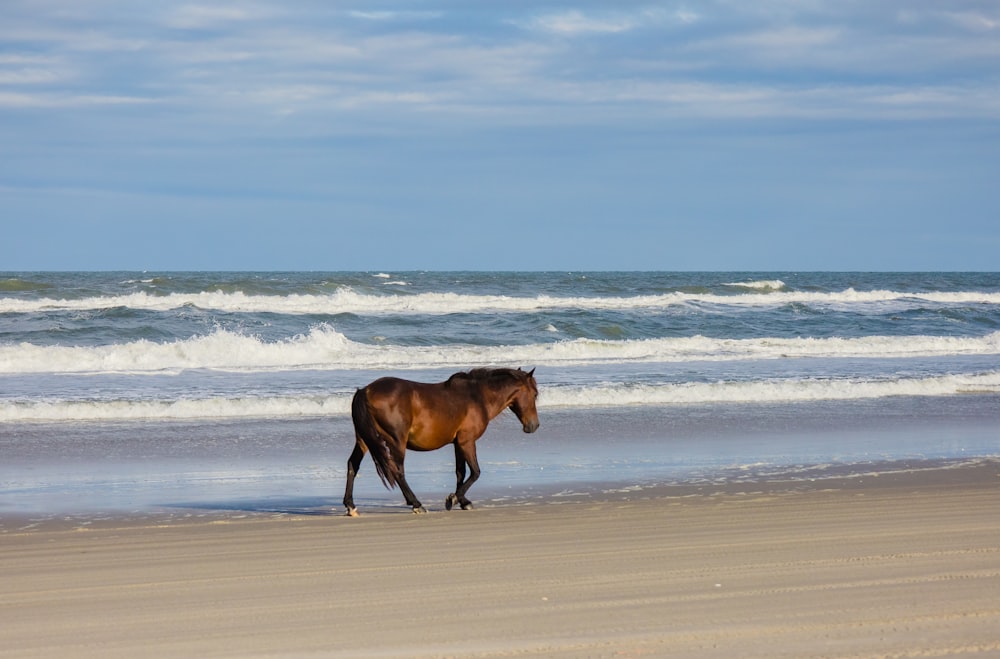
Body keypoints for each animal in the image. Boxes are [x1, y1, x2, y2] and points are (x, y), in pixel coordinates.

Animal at [342, 366, 540, 516]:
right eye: (535, 394)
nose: (534, 426)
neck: (478, 397)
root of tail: (365, 391)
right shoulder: (467, 441)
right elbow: (475, 472)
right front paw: (453, 498)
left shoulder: (458, 444)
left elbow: (460, 472)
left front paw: (463, 501)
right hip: (396, 440)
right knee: (397, 471)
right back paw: (416, 503)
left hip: (364, 440)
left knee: (353, 465)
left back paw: (350, 506)